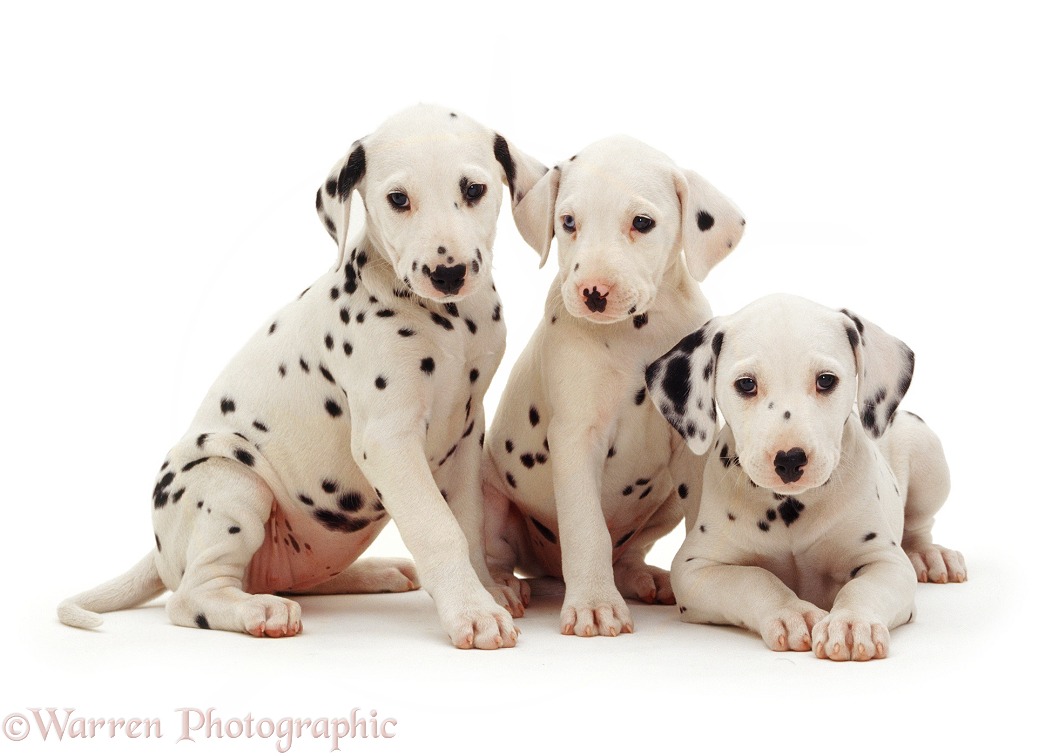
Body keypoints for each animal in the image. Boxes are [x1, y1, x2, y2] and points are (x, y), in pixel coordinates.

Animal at [57, 104, 548, 648]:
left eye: (474, 189)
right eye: (398, 199)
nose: (448, 273)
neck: (450, 322)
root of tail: (162, 552)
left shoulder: (464, 435)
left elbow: (467, 521)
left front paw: (486, 589)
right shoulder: (388, 439)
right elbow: (438, 528)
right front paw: (472, 612)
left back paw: (377, 572)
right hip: (230, 480)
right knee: (191, 597)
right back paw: (258, 611)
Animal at [480, 137, 748, 639]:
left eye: (642, 222)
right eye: (568, 222)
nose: (593, 292)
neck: (637, 335)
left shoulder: (691, 447)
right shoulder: (576, 437)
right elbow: (588, 530)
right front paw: (594, 604)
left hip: (663, 502)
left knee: (627, 555)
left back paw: (645, 577)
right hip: (491, 502)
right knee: (496, 555)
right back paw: (504, 585)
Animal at [648, 292, 964, 660]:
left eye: (825, 380)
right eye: (746, 384)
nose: (789, 460)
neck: (790, 508)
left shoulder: (887, 562)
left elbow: (863, 587)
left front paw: (850, 621)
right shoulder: (694, 568)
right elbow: (753, 578)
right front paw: (790, 611)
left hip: (927, 456)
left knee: (919, 524)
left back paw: (929, 554)